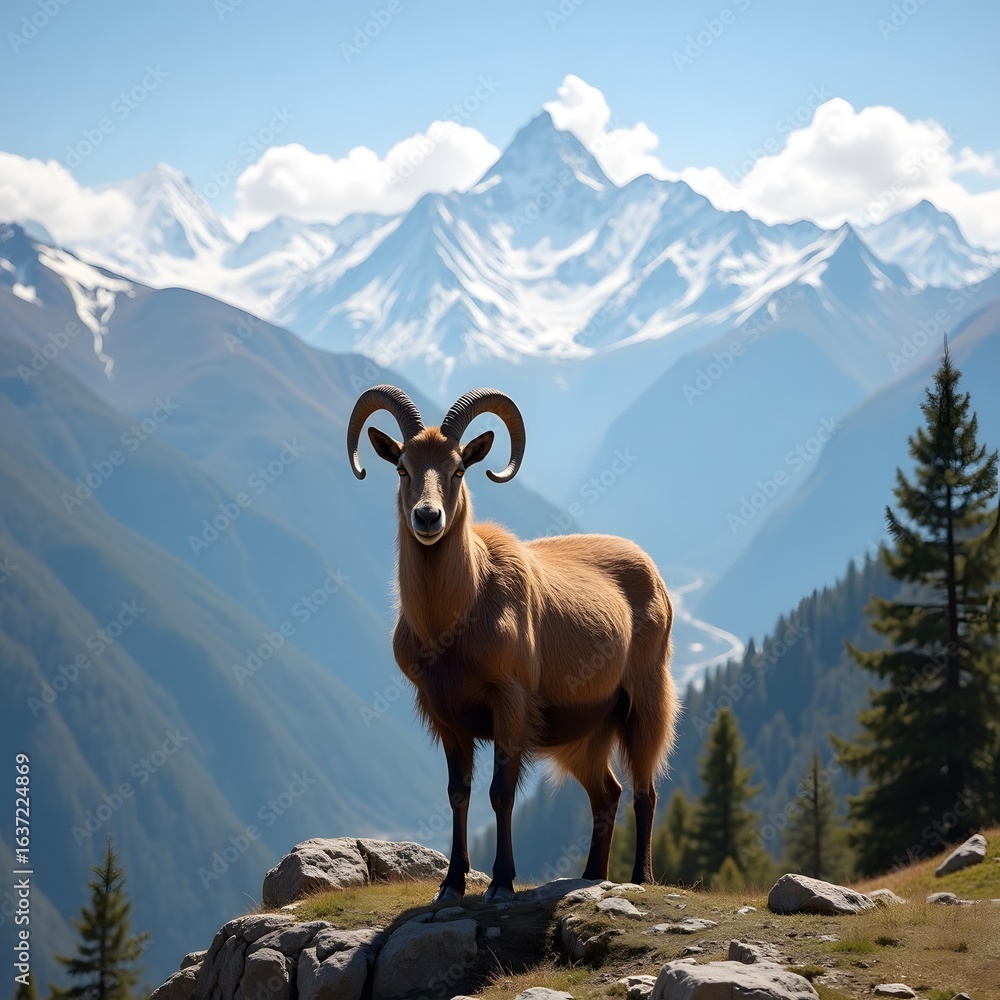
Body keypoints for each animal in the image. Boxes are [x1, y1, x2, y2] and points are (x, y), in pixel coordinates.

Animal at [347, 385, 678, 902]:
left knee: (646, 790)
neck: (455, 620)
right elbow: (457, 793)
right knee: (607, 793)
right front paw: (452, 883)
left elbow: (500, 793)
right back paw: (591, 876)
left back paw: (639, 877)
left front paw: (501, 882)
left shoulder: (510, 701)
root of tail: (656, 575)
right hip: (589, 728)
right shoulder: (446, 714)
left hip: (644, 699)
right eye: (402, 467)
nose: (428, 517)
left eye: (458, 468)